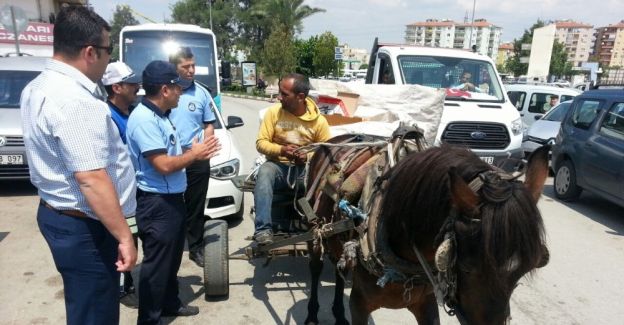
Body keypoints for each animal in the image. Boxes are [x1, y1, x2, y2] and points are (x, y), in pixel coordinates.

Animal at [304, 132, 552, 324]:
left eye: (526, 269)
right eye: (467, 267)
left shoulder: (427, 304)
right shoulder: (359, 304)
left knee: (339, 269)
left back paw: (338, 313)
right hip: (314, 231)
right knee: (316, 267)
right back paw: (313, 314)